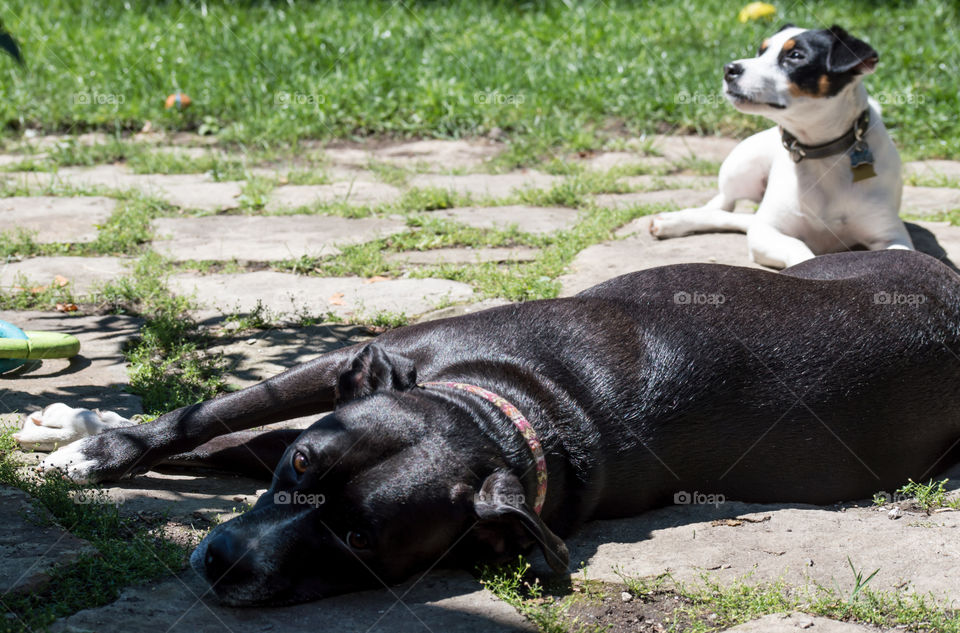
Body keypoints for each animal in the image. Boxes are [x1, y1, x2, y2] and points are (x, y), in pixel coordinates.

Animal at [37, 249, 960, 604]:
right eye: (301, 464)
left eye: (359, 542)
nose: (223, 559)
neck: (511, 410)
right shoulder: (360, 365)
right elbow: (217, 418)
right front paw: (101, 442)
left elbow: (228, 438)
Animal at [648, 25, 912, 270]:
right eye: (761, 51)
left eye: (795, 55)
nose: (729, 69)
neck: (820, 155)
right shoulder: (767, 231)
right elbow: (798, 247)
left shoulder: (891, 235)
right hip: (741, 167)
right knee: (724, 205)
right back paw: (678, 220)